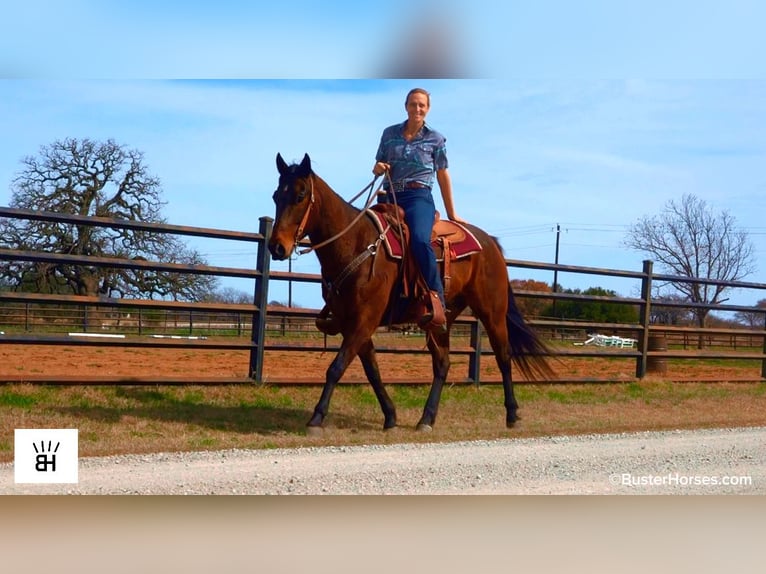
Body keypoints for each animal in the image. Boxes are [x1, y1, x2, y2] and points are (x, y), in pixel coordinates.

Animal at [268, 153, 553, 434]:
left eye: (300, 195)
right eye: (275, 196)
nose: (277, 247)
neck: (357, 244)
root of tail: (490, 243)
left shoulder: (364, 321)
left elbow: (336, 367)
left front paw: (316, 418)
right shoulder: (353, 324)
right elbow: (372, 370)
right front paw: (390, 416)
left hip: (492, 312)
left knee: (504, 356)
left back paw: (512, 414)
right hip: (441, 321)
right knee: (442, 363)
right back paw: (426, 419)